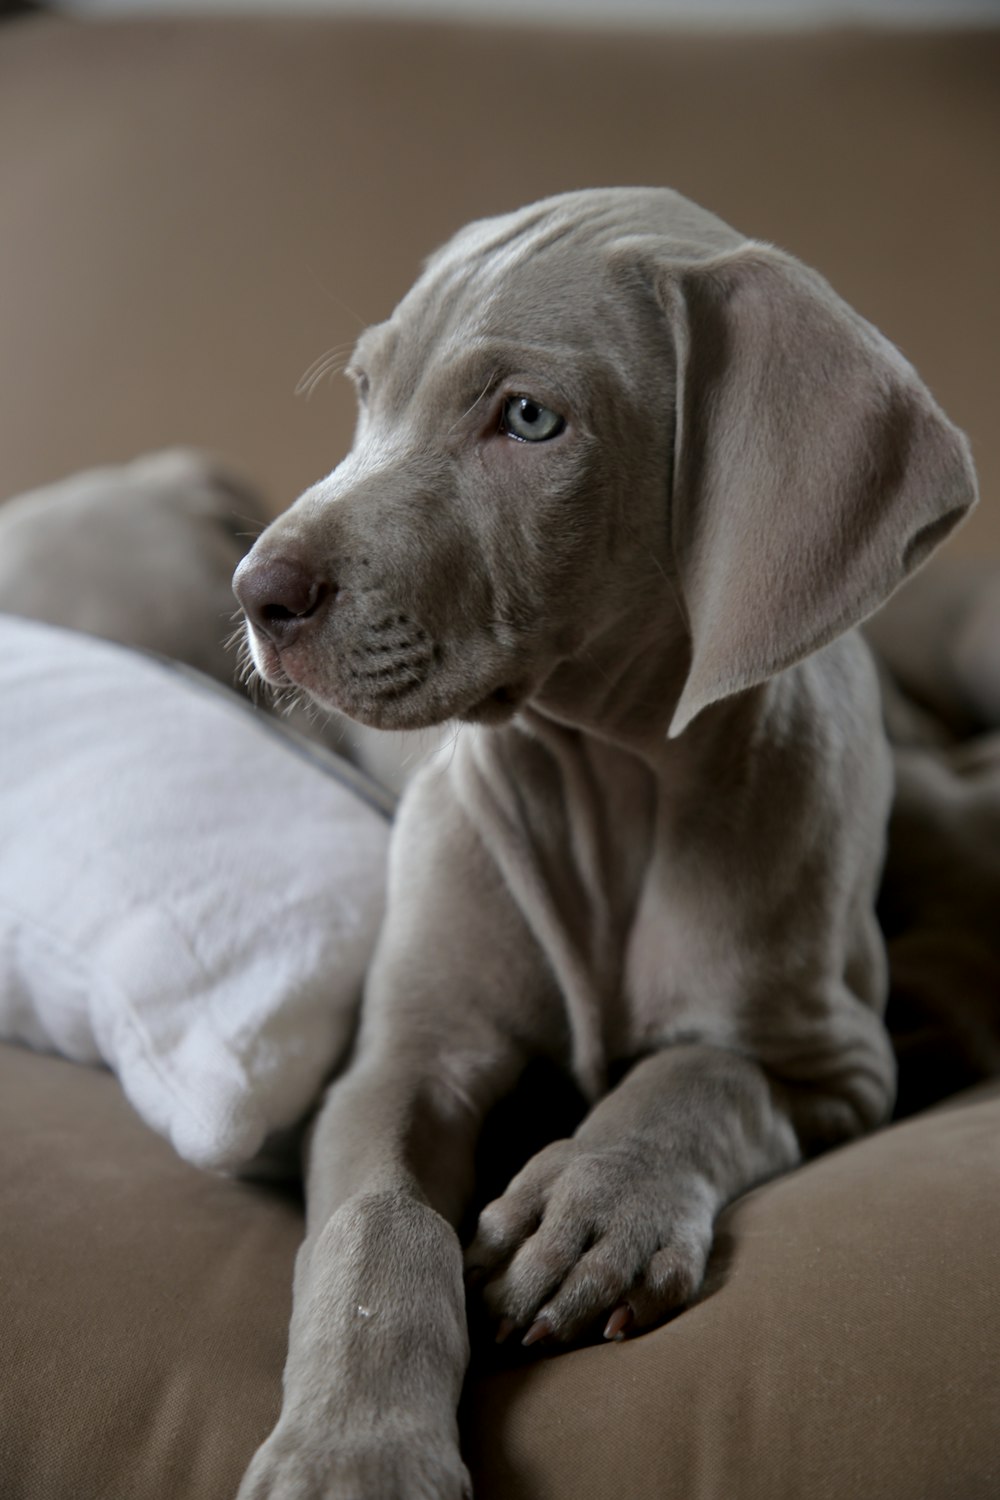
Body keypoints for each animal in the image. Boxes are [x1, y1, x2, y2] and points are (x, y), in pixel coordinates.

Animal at [230, 190, 971, 1500]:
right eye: (367, 390)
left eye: (529, 418)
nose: (257, 590)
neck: (604, 783)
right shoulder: (403, 1056)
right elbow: (378, 1224)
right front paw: (353, 1448)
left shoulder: (836, 1066)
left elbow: (703, 1076)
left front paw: (592, 1206)